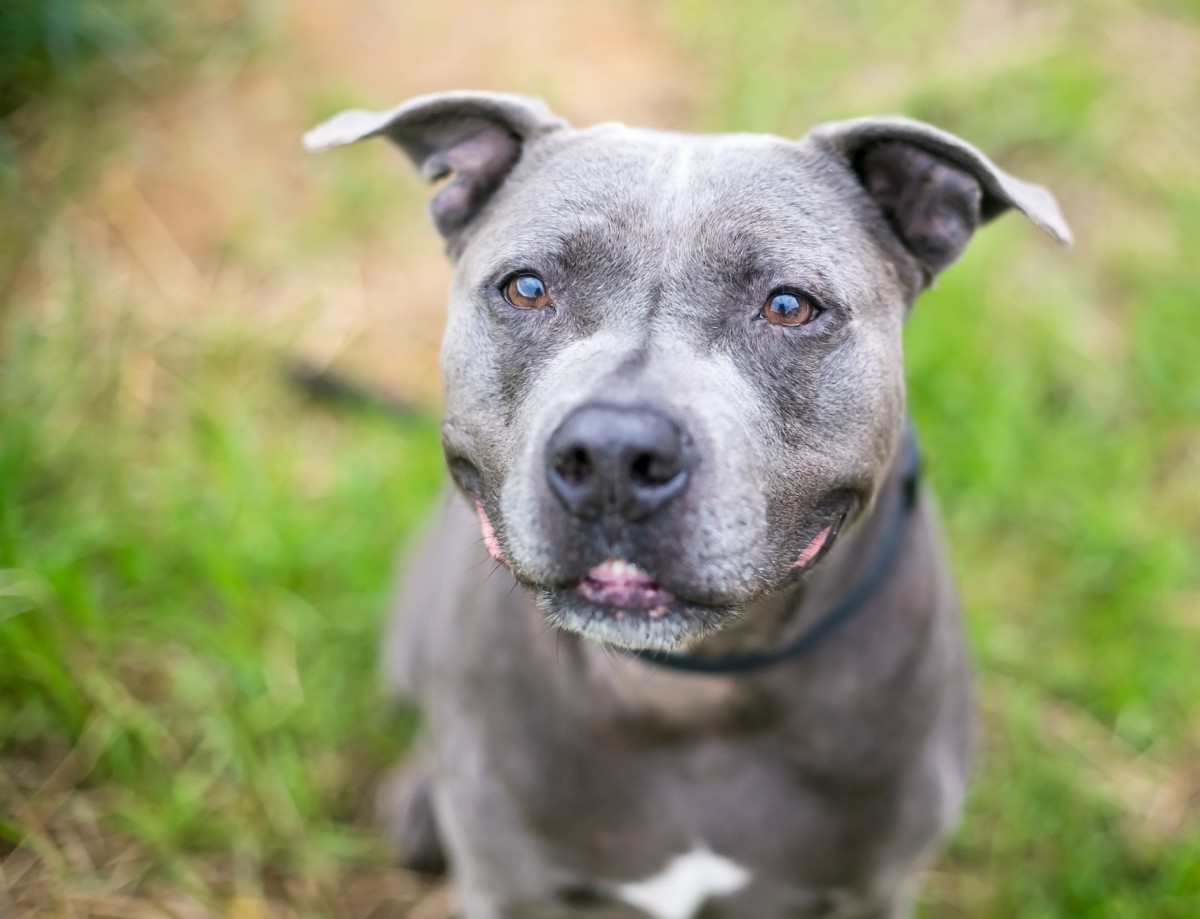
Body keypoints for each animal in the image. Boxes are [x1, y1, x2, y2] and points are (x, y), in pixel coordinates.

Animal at [304, 91, 1075, 919]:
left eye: (789, 305)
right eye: (526, 288)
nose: (614, 454)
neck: (689, 692)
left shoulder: (874, 889)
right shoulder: (505, 884)